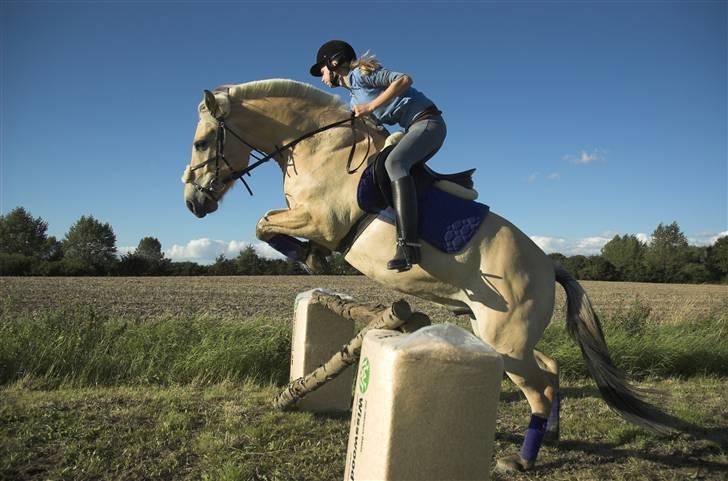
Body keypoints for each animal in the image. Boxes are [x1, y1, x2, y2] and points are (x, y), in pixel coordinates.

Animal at [182, 79, 676, 472]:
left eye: (202, 143)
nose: (193, 202)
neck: (321, 150)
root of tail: (550, 266)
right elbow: (266, 224)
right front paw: (313, 258)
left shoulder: (322, 220)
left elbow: (263, 223)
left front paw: (310, 258)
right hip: (495, 334)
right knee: (550, 371)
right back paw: (551, 435)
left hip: (507, 341)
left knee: (538, 392)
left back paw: (522, 460)